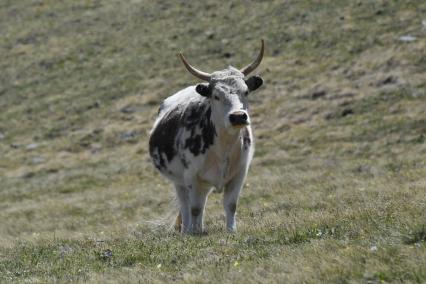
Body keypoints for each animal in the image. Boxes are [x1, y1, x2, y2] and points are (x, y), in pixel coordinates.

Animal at [148, 40, 264, 235]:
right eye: (216, 95)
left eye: (246, 91)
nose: (238, 116)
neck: (224, 146)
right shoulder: (192, 176)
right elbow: (194, 208)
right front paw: (194, 234)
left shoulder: (239, 174)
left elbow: (231, 204)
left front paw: (231, 230)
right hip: (180, 182)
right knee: (186, 206)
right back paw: (188, 230)